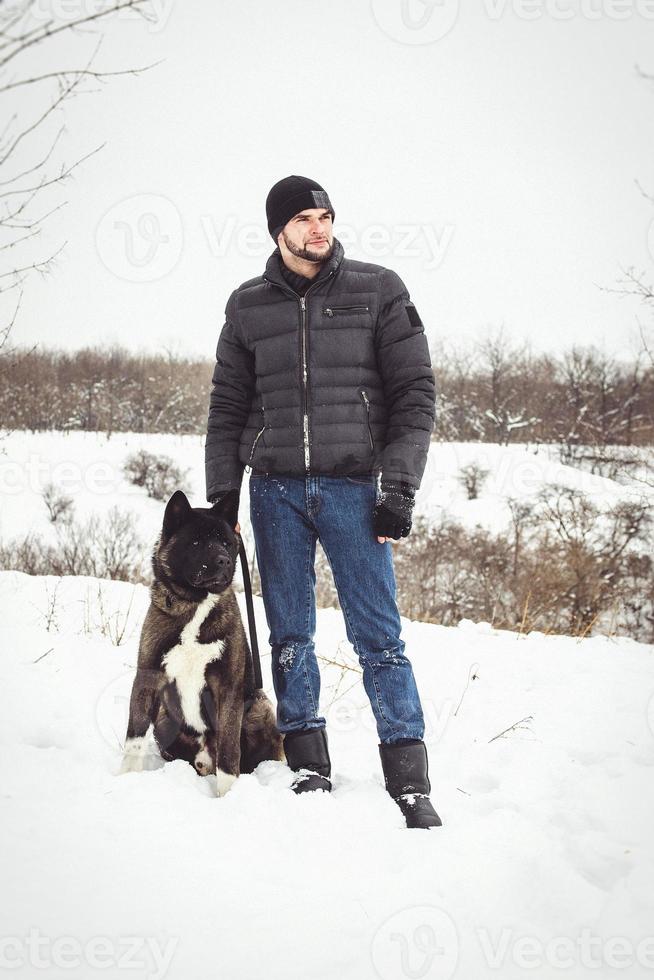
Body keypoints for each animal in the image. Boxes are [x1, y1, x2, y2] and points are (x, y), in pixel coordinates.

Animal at [120, 490, 284, 796]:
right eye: (195, 541)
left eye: (227, 543)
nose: (224, 561)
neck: (196, 604)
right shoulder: (148, 678)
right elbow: (134, 738)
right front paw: (124, 779)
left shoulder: (228, 688)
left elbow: (229, 751)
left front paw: (227, 796)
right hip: (164, 720)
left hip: (259, 706)